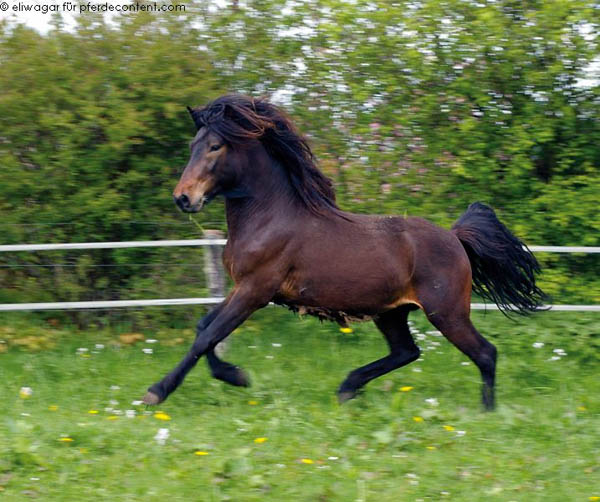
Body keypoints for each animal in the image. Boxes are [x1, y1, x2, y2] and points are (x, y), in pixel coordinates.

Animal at [143, 94, 548, 412]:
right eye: (193, 146)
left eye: (215, 146)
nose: (183, 198)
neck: (269, 216)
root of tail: (454, 237)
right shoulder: (243, 288)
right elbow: (205, 328)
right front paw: (236, 376)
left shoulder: (255, 290)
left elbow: (207, 336)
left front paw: (159, 391)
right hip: (392, 312)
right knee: (407, 352)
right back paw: (348, 388)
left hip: (446, 312)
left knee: (485, 352)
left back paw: (486, 412)